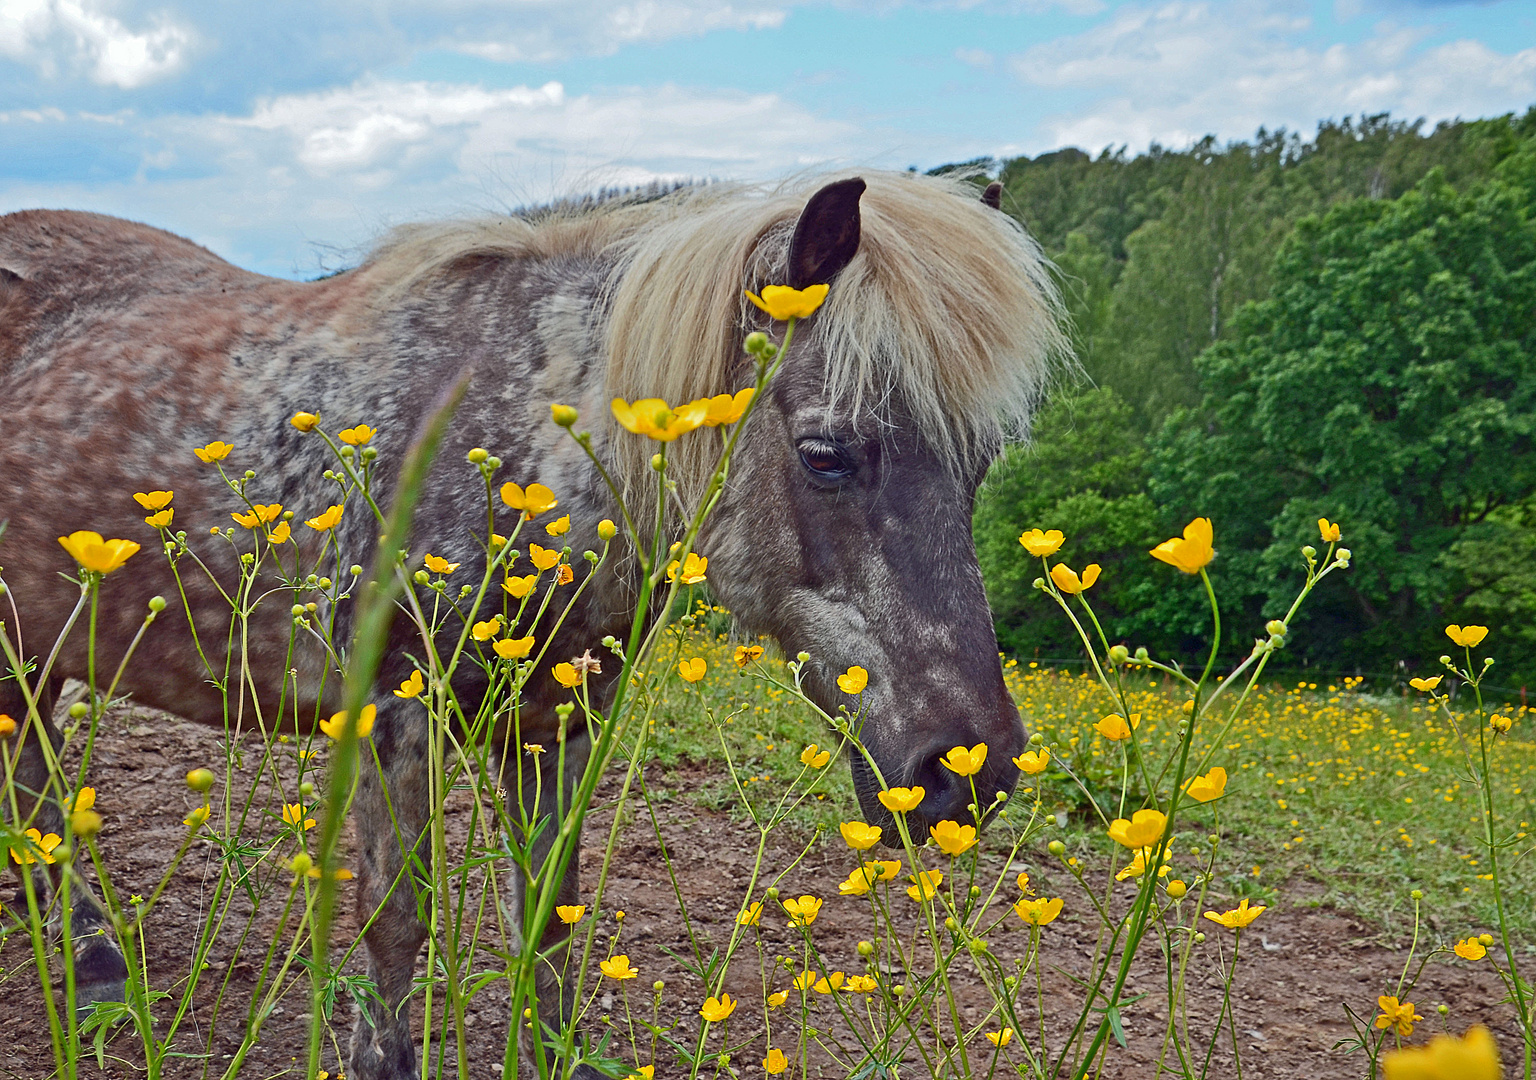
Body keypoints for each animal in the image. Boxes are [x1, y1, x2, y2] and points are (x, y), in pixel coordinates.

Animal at [3, 173, 1069, 1075]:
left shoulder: (557, 726)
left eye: (982, 464)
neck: (509, 447)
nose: (966, 773)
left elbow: (549, 915)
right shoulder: (394, 716)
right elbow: (397, 918)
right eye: (825, 454)